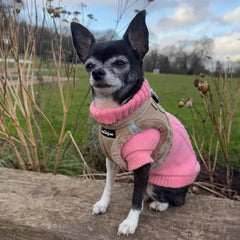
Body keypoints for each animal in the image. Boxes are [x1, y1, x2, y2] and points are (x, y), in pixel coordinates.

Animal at [71, 10, 201, 236]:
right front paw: (103, 204)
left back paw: (158, 203)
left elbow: (135, 199)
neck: (118, 111)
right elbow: (108, 185)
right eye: (89, 65)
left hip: (159, 182)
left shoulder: (142, 164)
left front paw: (130, 222)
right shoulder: (110, 160)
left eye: (120, 63)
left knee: (175, 200)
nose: (97, 72)